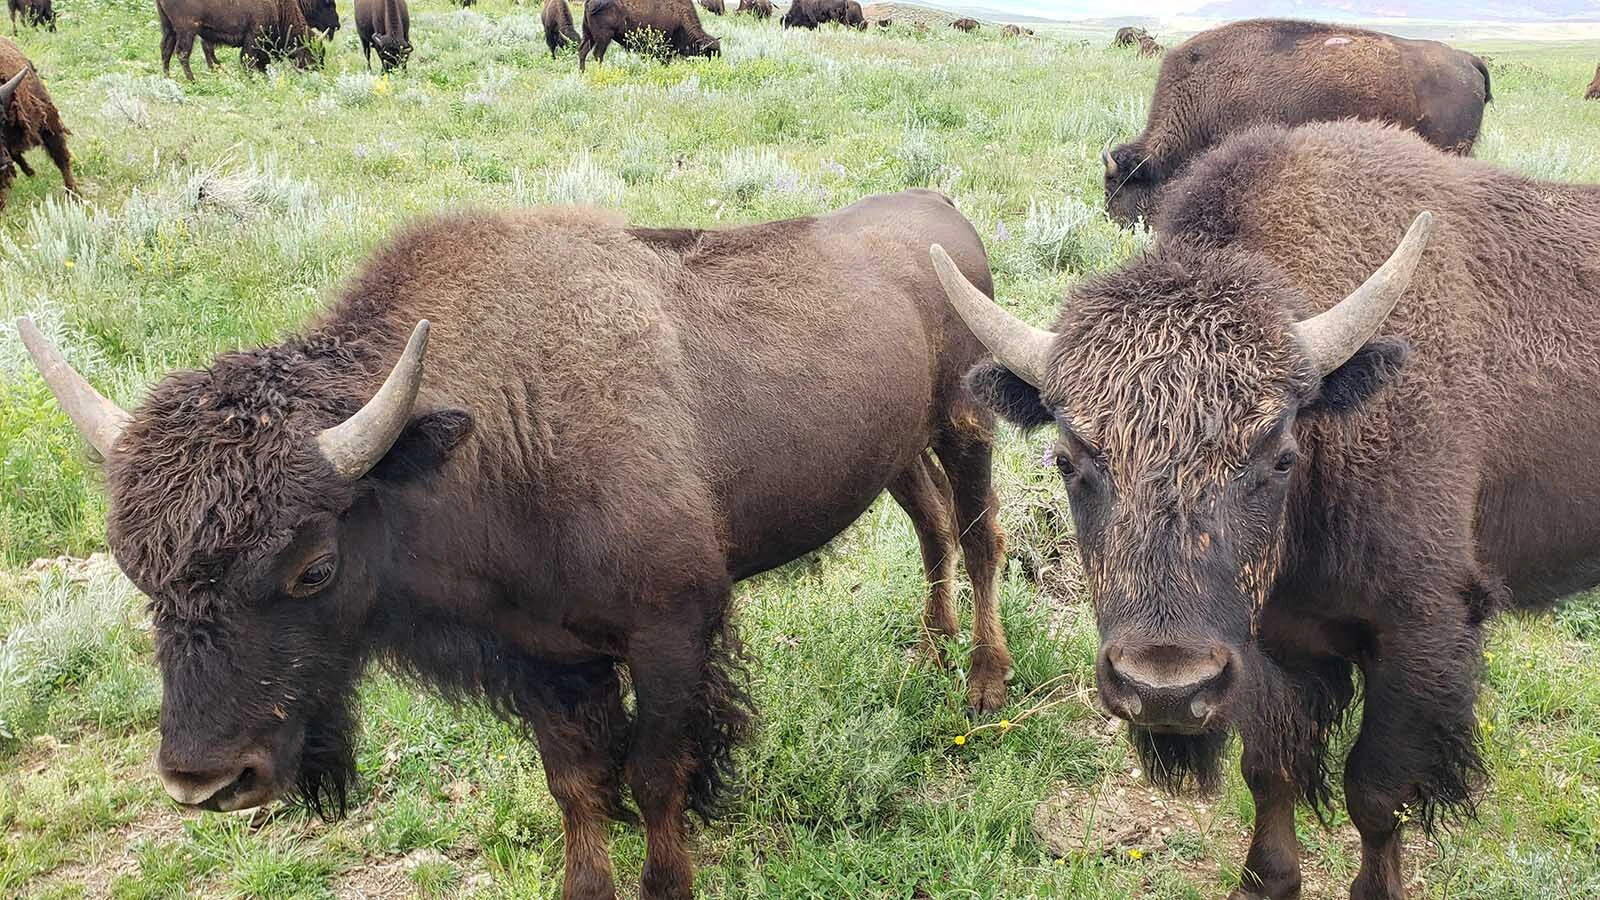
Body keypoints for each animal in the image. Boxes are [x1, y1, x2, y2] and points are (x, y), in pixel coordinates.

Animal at [18, 189, 1012, 900]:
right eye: (137, 572)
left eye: (314, 567)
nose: (205, 778)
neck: (501, 431)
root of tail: (944, 214)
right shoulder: (548, 662)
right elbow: (576, 786)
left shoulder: (670, 631)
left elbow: (654, 776)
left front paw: (666, 882)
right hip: (895, 452)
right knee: (931, 526)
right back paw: (928, 649)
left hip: (967, 426)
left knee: (979, 536)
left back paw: (982, 684)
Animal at [156, 0, 324, 80]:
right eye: (311, 51)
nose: (319, 68)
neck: (279, 7)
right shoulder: (254, 37)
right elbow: (248, 59)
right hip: (187, 31)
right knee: (182, 53)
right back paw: (192, 80)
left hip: (169, 28)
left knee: (166, 50)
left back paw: (168, 77)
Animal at [579, 0, 718, 70]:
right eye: (709, 53)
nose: (712, 66)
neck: (679, 14)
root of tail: (590, 3)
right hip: (604, 38)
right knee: (598, 55)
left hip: (589, 36)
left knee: (583, 51)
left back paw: (582, 73)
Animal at [931, 118, 1600, 900]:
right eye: (1069, 460)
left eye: (1280, 456)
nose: (1164, 687)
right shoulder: (1270, 649)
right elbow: (1271, 771)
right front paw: (1266, 878)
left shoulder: (1422, 638)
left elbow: (1375, 793)